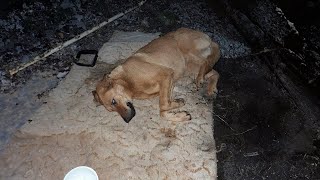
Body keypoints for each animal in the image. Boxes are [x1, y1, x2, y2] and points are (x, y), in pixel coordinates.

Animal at [92, 28, 220, 123]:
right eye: (111, 109)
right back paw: (210, 88)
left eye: (113, 101)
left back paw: (200, 79)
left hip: (188, 53)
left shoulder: (166, 75)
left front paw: (178, 105)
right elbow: (163, 112)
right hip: (189, 67)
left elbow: (162, 105)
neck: (128, 84)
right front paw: (179, 113)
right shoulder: (170, 84)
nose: (127, 120)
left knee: (207, 62)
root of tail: (208, 37)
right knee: (214, 71)